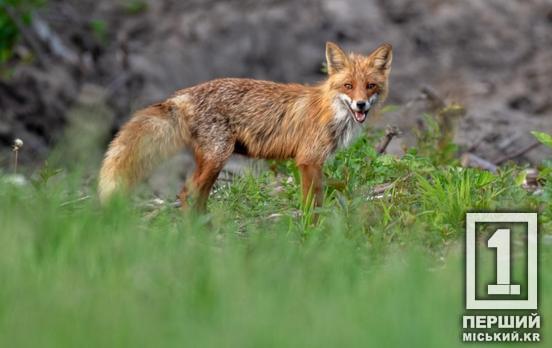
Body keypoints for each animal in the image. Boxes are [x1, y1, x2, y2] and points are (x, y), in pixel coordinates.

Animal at [99, 42, 392, 212]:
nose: (361, 105)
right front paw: (311, 233)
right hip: (218, 157)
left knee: (194, 197)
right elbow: (311, 205)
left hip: (213, 163)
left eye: (370, 86)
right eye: (348, 86)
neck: (330, 111)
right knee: (186, 194)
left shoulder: (316, 163)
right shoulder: (308, 160)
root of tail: (182, 95)